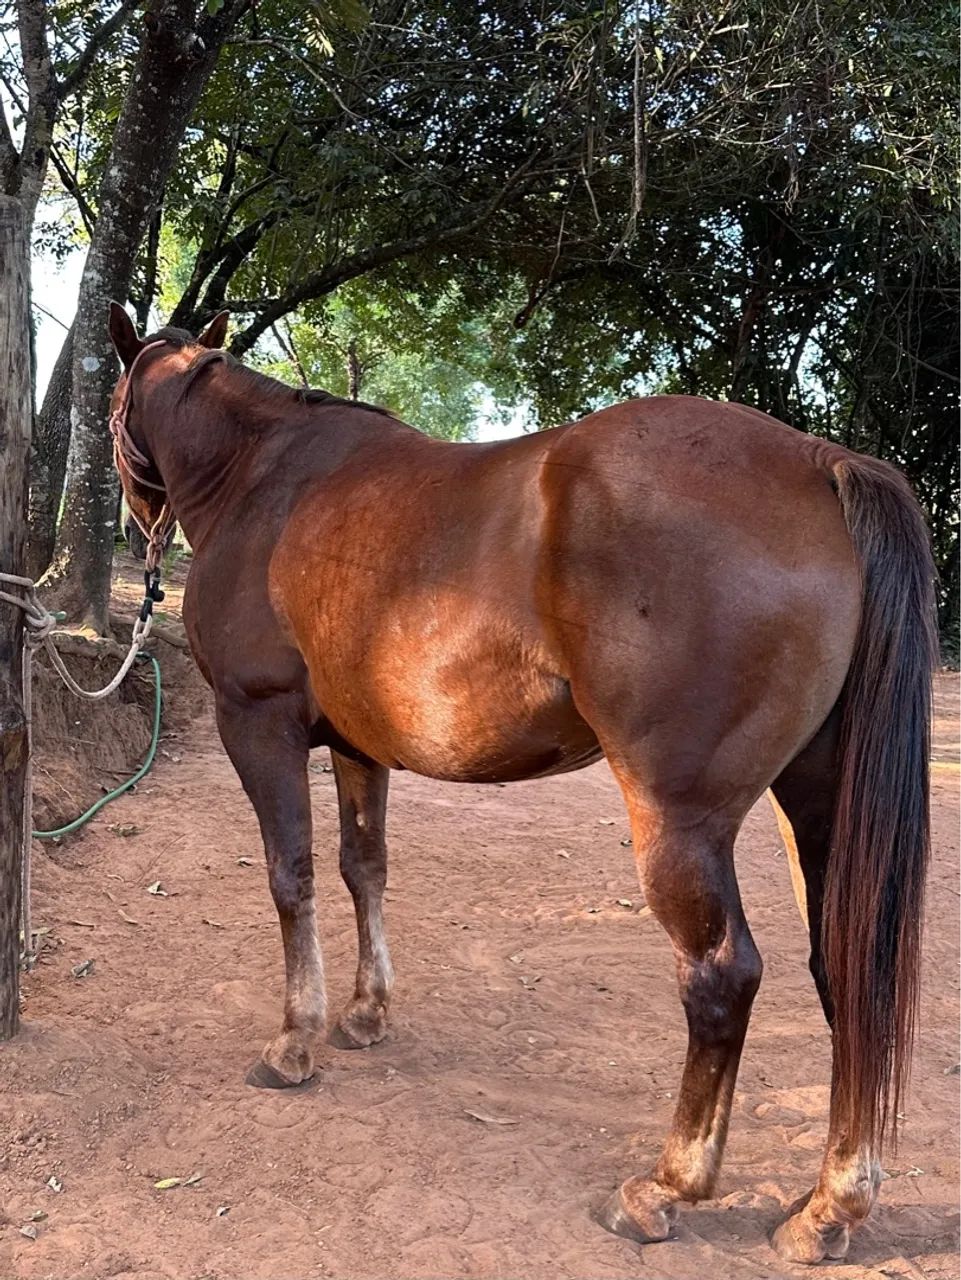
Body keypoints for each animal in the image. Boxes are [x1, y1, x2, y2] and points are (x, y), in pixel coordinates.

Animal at [106, 302, 937, 1265]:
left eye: (115, 406)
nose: (132, 518)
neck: (264, 479)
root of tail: (816, 461)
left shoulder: (259, 724)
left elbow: (292, 877)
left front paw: (293, 1042)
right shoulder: (355, 747)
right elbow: (362, 869)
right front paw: (365, 1013)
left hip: (679, 821)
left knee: (720, 977)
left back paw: (662, 1189)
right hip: (815, 803)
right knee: (845, 965)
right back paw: (827, 1208)